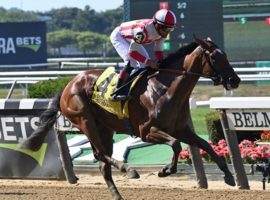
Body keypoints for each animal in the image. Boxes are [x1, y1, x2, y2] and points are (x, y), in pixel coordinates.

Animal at [20, 36, 240, 199]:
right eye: (215, 57)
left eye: (225, 55)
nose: (235, 80)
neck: (165, 89)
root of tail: (67, 85)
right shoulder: (147, 131)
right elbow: (176, 145)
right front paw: (165, 170)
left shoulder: (179, 129)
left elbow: (205, 145)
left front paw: (229, 176)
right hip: (85, 121)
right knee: (99, 154)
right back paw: (129, 169)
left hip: (105, 128)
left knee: (102, 164)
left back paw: (117, 194)